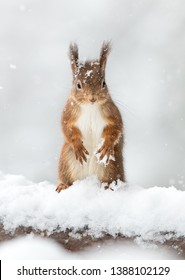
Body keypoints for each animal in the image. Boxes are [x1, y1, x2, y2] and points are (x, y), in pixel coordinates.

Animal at [56, 42, 125, 192]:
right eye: (78, 85)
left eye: (103, 83)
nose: (92, 98)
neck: (90, 108)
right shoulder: (68, 114)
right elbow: (67, 129)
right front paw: (77, 145)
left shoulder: (112, 113)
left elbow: (115, 127)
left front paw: (107, 145)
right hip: (66, 161)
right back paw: (63, 185)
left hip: (112, 165)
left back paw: (108, 186)